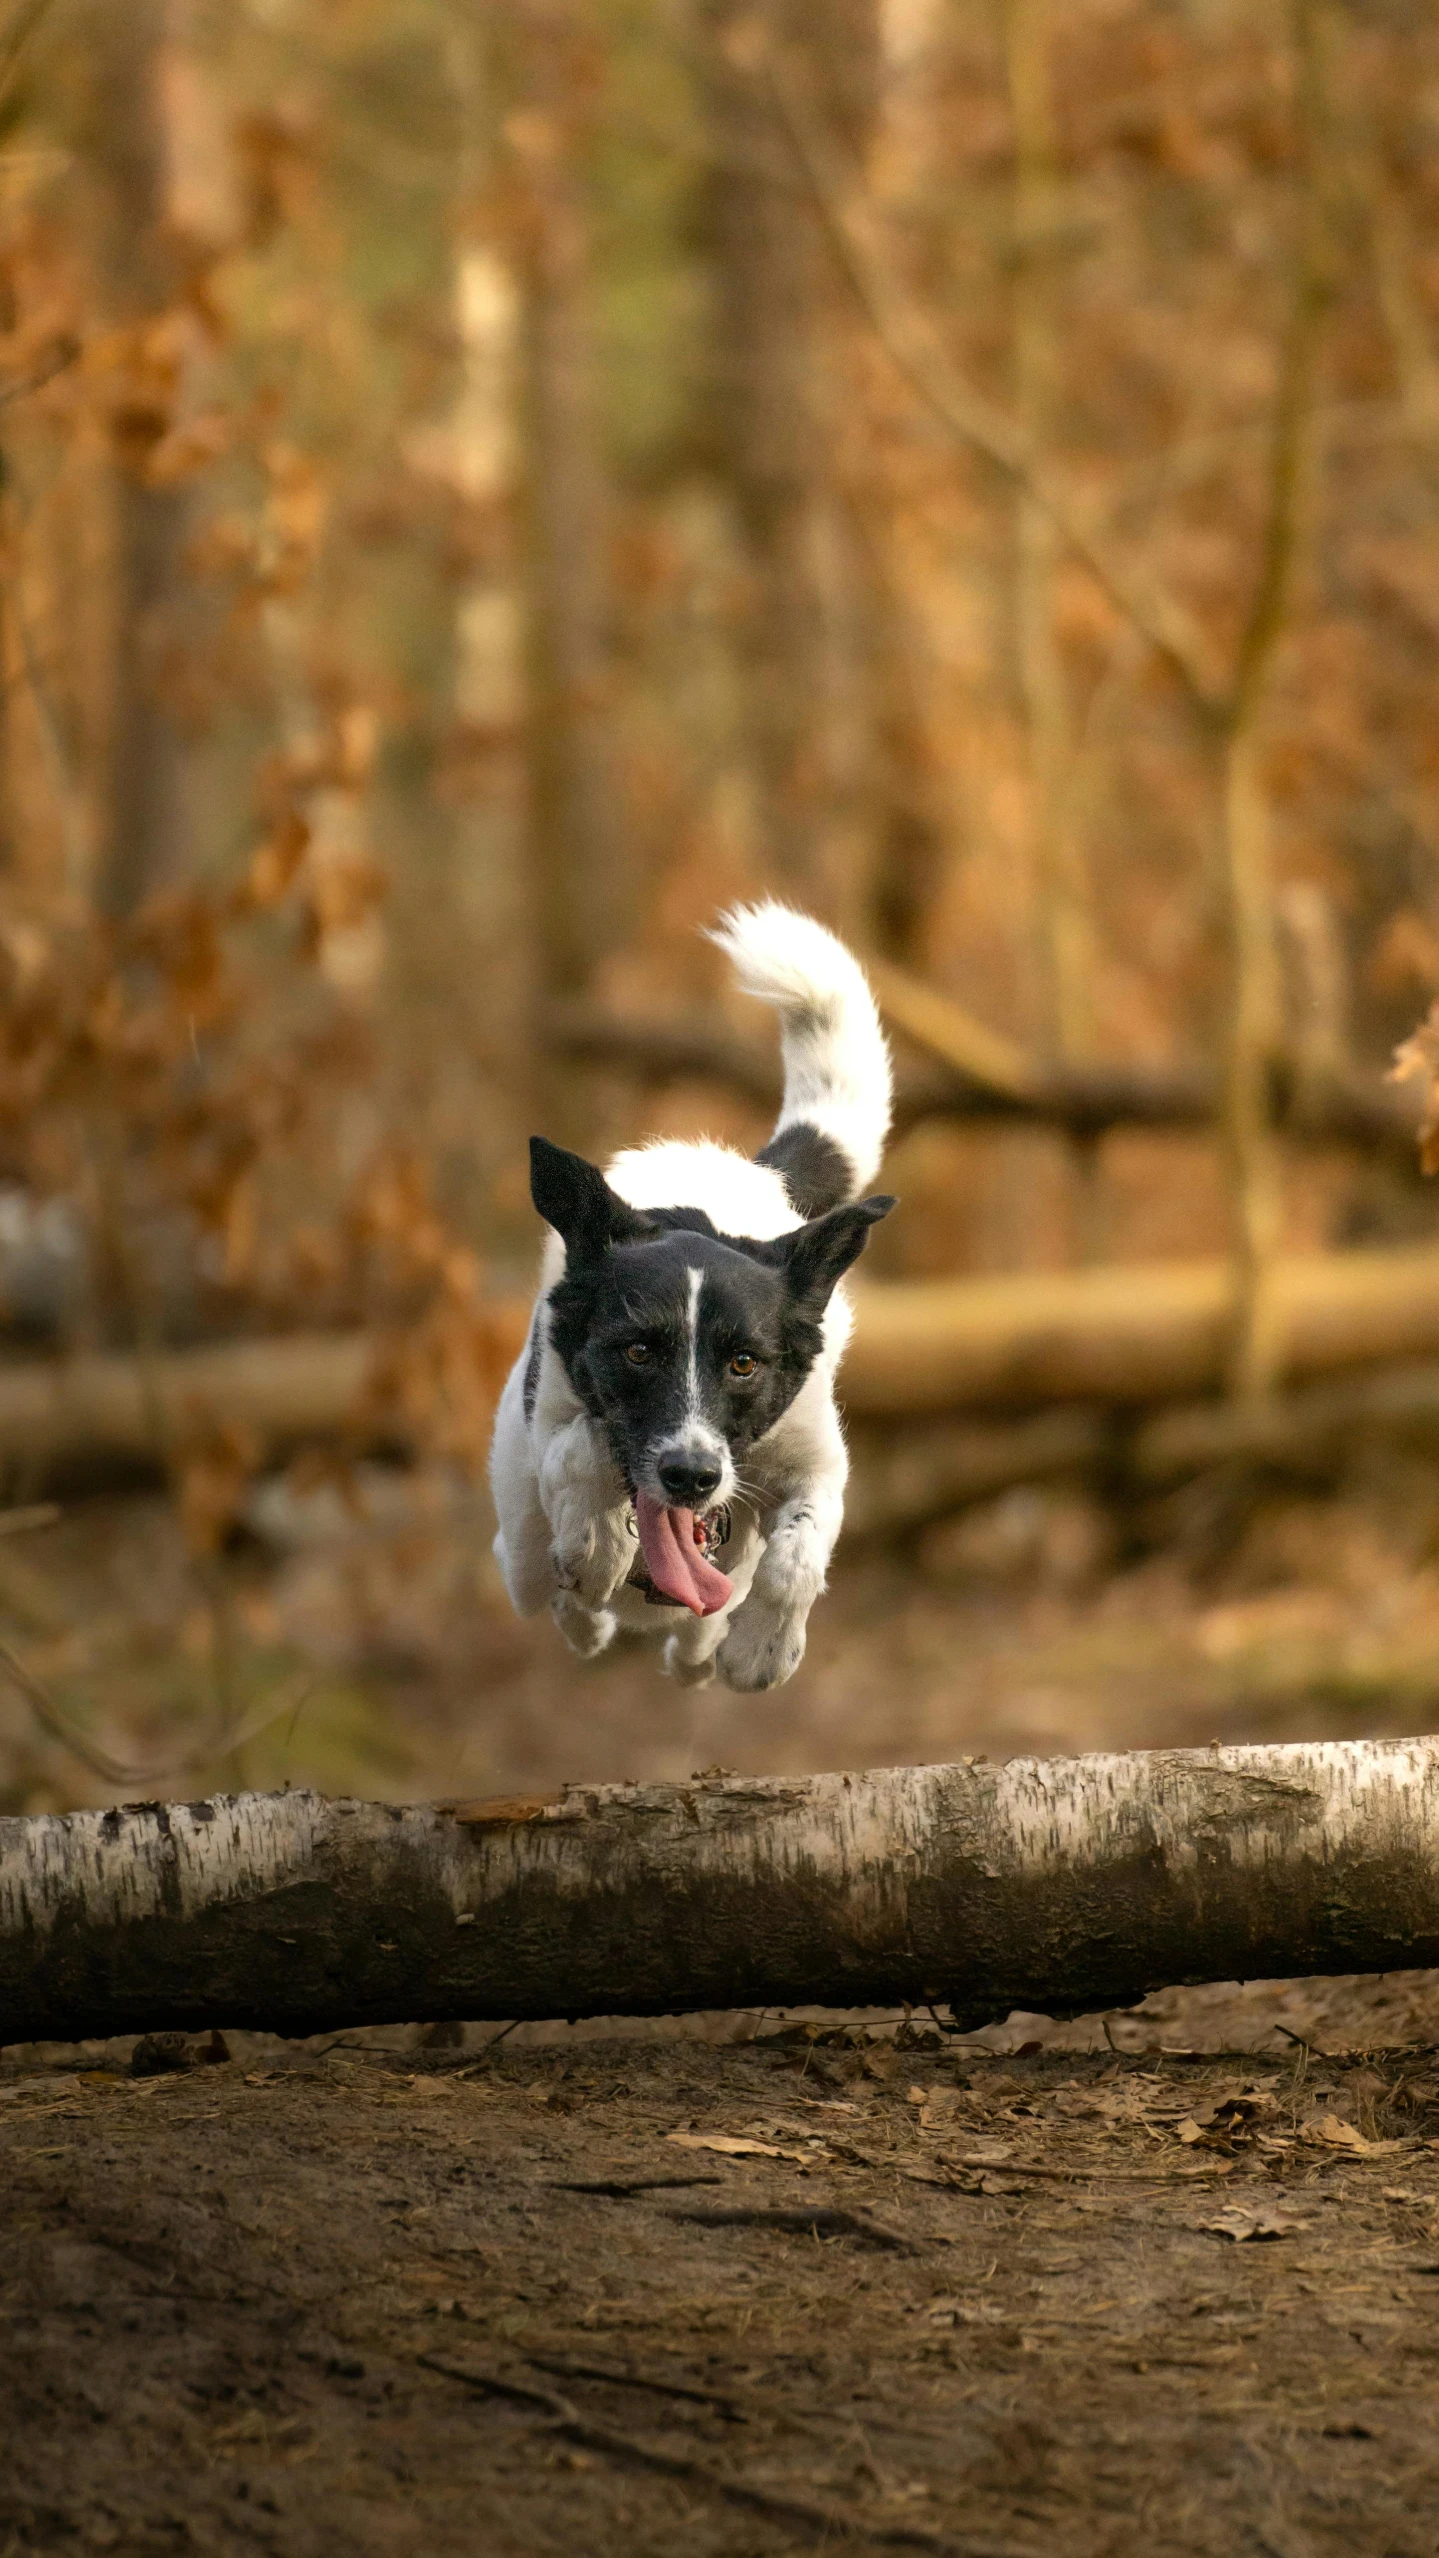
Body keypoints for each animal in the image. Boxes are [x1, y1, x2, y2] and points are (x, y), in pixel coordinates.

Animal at [495, 910, 899, 1688]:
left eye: (744, 1363)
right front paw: (597, 1546)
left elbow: (796, 1557)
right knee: (534, 1570)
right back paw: (590, 1606)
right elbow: (581, 1449)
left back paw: (697, 1650)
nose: (690, 1475)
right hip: (518, 1537)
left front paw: (761, 1650)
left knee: (707, 1613)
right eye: (636, 1351)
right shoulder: (559, 1415)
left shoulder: (815, 1459)